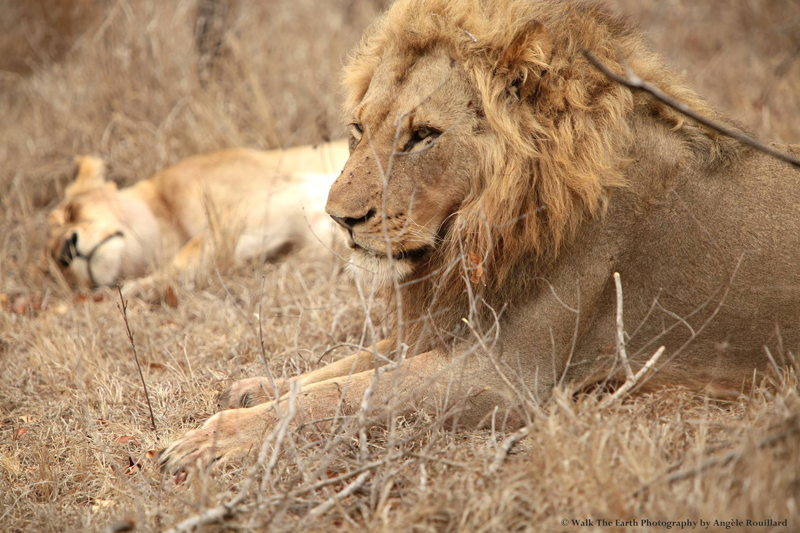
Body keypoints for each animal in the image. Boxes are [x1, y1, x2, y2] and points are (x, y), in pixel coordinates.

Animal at [46, 141, 349, 297]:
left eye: (72, 211)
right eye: (56, 264)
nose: (66, 251)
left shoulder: (256, 206)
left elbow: (187, 255)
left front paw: (136, 288)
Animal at [157, 0, 800, 472]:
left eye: (422, 135)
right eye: (358, 129)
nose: (339, 219)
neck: (480, 230)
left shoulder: (504, 377)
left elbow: (347, 395)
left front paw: (210, 439)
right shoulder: (450, 321)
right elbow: (345, 367)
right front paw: (254, 387)